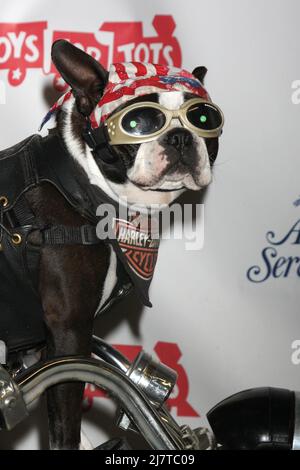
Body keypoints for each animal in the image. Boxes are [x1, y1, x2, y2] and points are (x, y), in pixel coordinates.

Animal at [0, 40, 223, 448]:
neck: (82, 185)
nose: (180, 136)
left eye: (203, 118)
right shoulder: (69, 331)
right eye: (137, 123)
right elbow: (66, 423)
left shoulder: (43, 347)